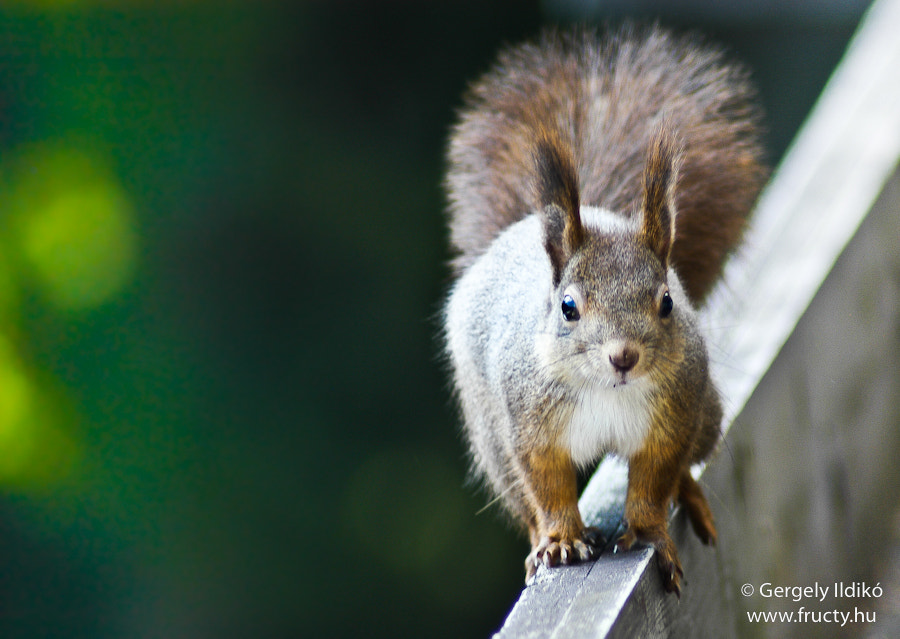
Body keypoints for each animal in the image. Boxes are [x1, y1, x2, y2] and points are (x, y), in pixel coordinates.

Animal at [442, 25, 768, 596]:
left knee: (689, 465)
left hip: (706, 414)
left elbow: (655, 481)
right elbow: (548, 488)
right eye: (568, 307)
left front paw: (648, 532)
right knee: (521, 498)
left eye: (667, 302)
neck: (606, 392)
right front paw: (560, 540)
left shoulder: (672, 419)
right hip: (492, 442)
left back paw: (692, 498)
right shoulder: (530, 427)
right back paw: (538, 545)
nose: (623, 357)